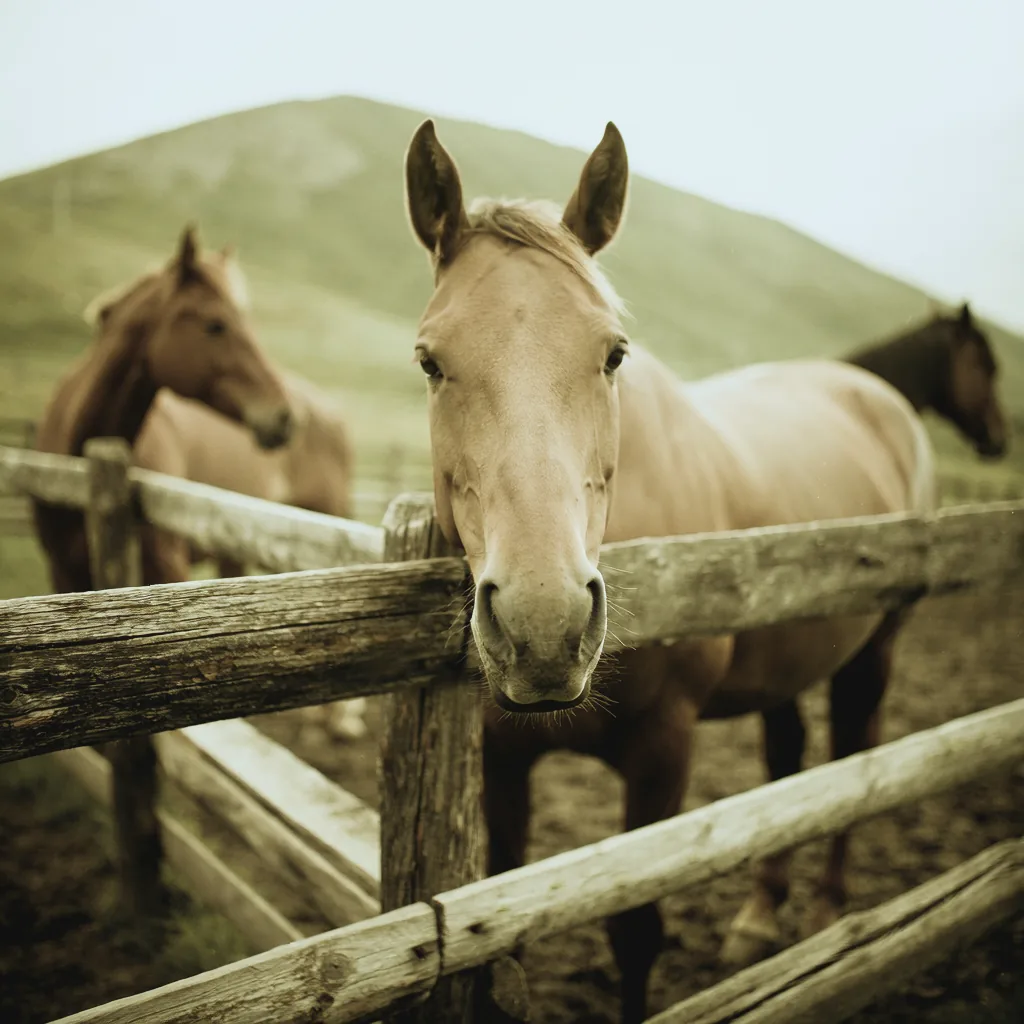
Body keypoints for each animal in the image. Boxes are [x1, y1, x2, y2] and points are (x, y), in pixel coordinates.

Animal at [402, 119, 937, 1023]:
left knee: (854, 762)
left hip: (879, 647)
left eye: (614, 354)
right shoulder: (502, 761)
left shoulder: (665, 749)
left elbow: (635, 930)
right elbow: (504, 932)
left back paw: (830, 916)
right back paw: (759, 918)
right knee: (786, 767)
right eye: (430, 361)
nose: (544, 627)